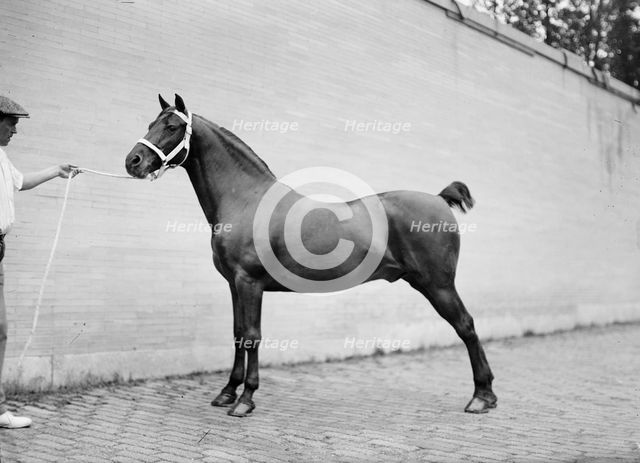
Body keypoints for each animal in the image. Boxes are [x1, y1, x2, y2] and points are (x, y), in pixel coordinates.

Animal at [125, 94, 497, 418]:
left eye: (172, 126)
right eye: (151, 123)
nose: (133, 162)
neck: (246, 200)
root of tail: (439, 199)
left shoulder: (249, 283)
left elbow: (252, 335)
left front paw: (245, 400)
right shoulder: (233, 284)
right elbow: (237, 334)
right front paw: (227, 392)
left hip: (438, 285)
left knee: (466, 327)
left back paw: (482, 397)